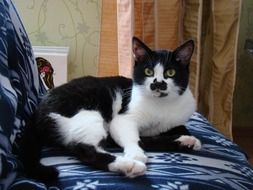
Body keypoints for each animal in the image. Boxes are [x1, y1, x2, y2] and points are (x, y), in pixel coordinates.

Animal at [19, 36, 202, 181]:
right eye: (148, 71)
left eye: (170, 73)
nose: (157, 84)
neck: (161, 106)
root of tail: (37, 110)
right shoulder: (122, 118)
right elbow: (133, 138)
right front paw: (136, 154)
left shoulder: (173, 121)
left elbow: (177, 129)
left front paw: (185, 138)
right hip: (87, 115)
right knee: (85, 150)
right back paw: (130, 166)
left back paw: (185, 141)